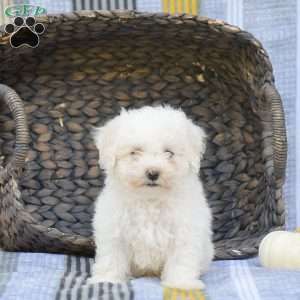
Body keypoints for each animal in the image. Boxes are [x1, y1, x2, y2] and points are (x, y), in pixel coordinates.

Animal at [89, 105, 213, 288]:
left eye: (169, 152)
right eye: (135, 152)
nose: (153, 173)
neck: (150, 200)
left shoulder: (185, 233)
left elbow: (181, 261)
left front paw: (181, 284)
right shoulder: (113, 230)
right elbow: (111, 257)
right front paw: (107, 280)